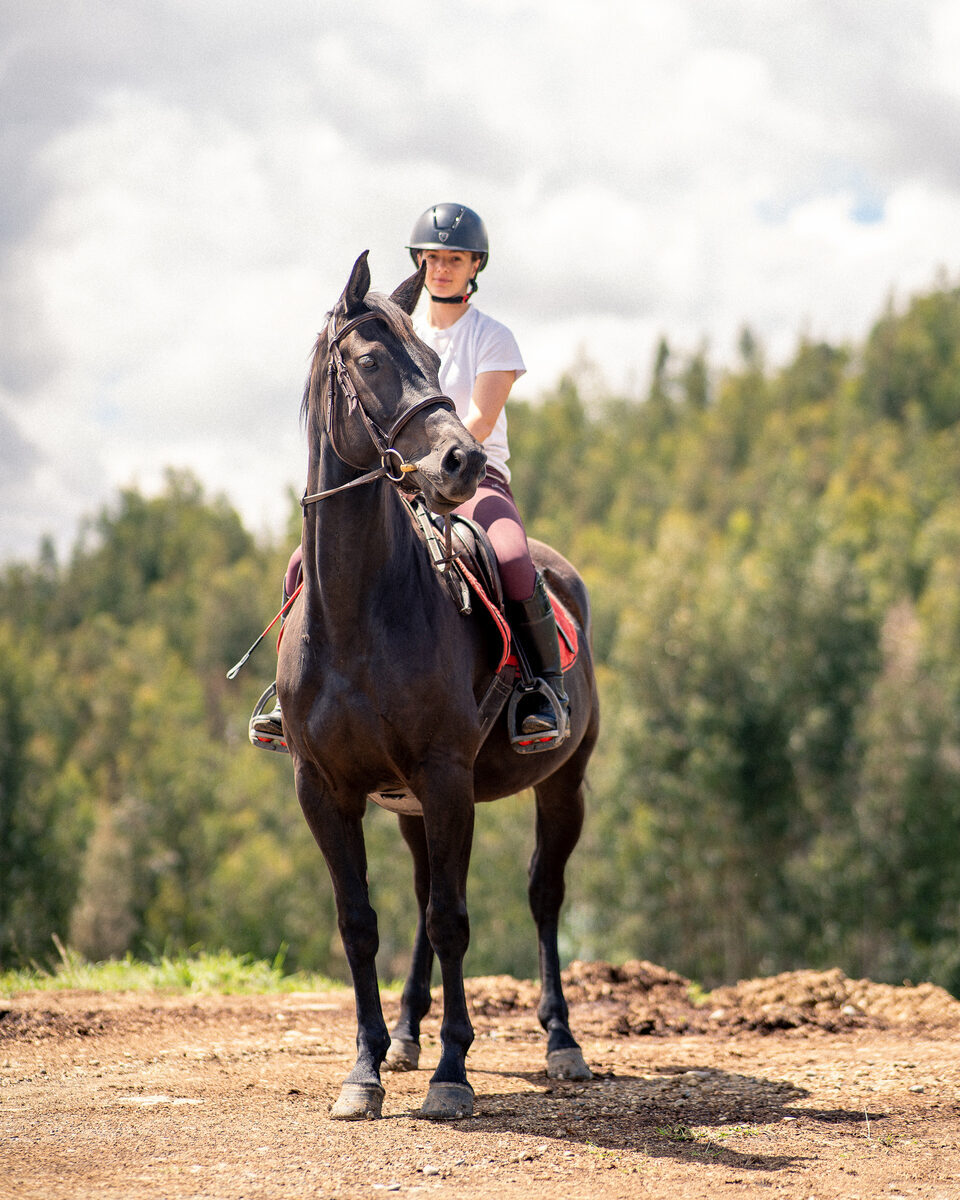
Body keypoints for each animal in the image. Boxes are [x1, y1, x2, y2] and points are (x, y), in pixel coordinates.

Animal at [277, 251, 600, 1121]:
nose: (463, 462)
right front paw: (365, 1069)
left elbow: (454, 919)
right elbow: (362, 923)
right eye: (369, 361)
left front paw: (453, 1073)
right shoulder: (324, 788)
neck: (358, 611)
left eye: (431, 358)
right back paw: (407, 1036)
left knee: (542, 894)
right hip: (411, 808)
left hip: (561, 785)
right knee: (423, 898)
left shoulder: (448, 776)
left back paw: (561, 1043)